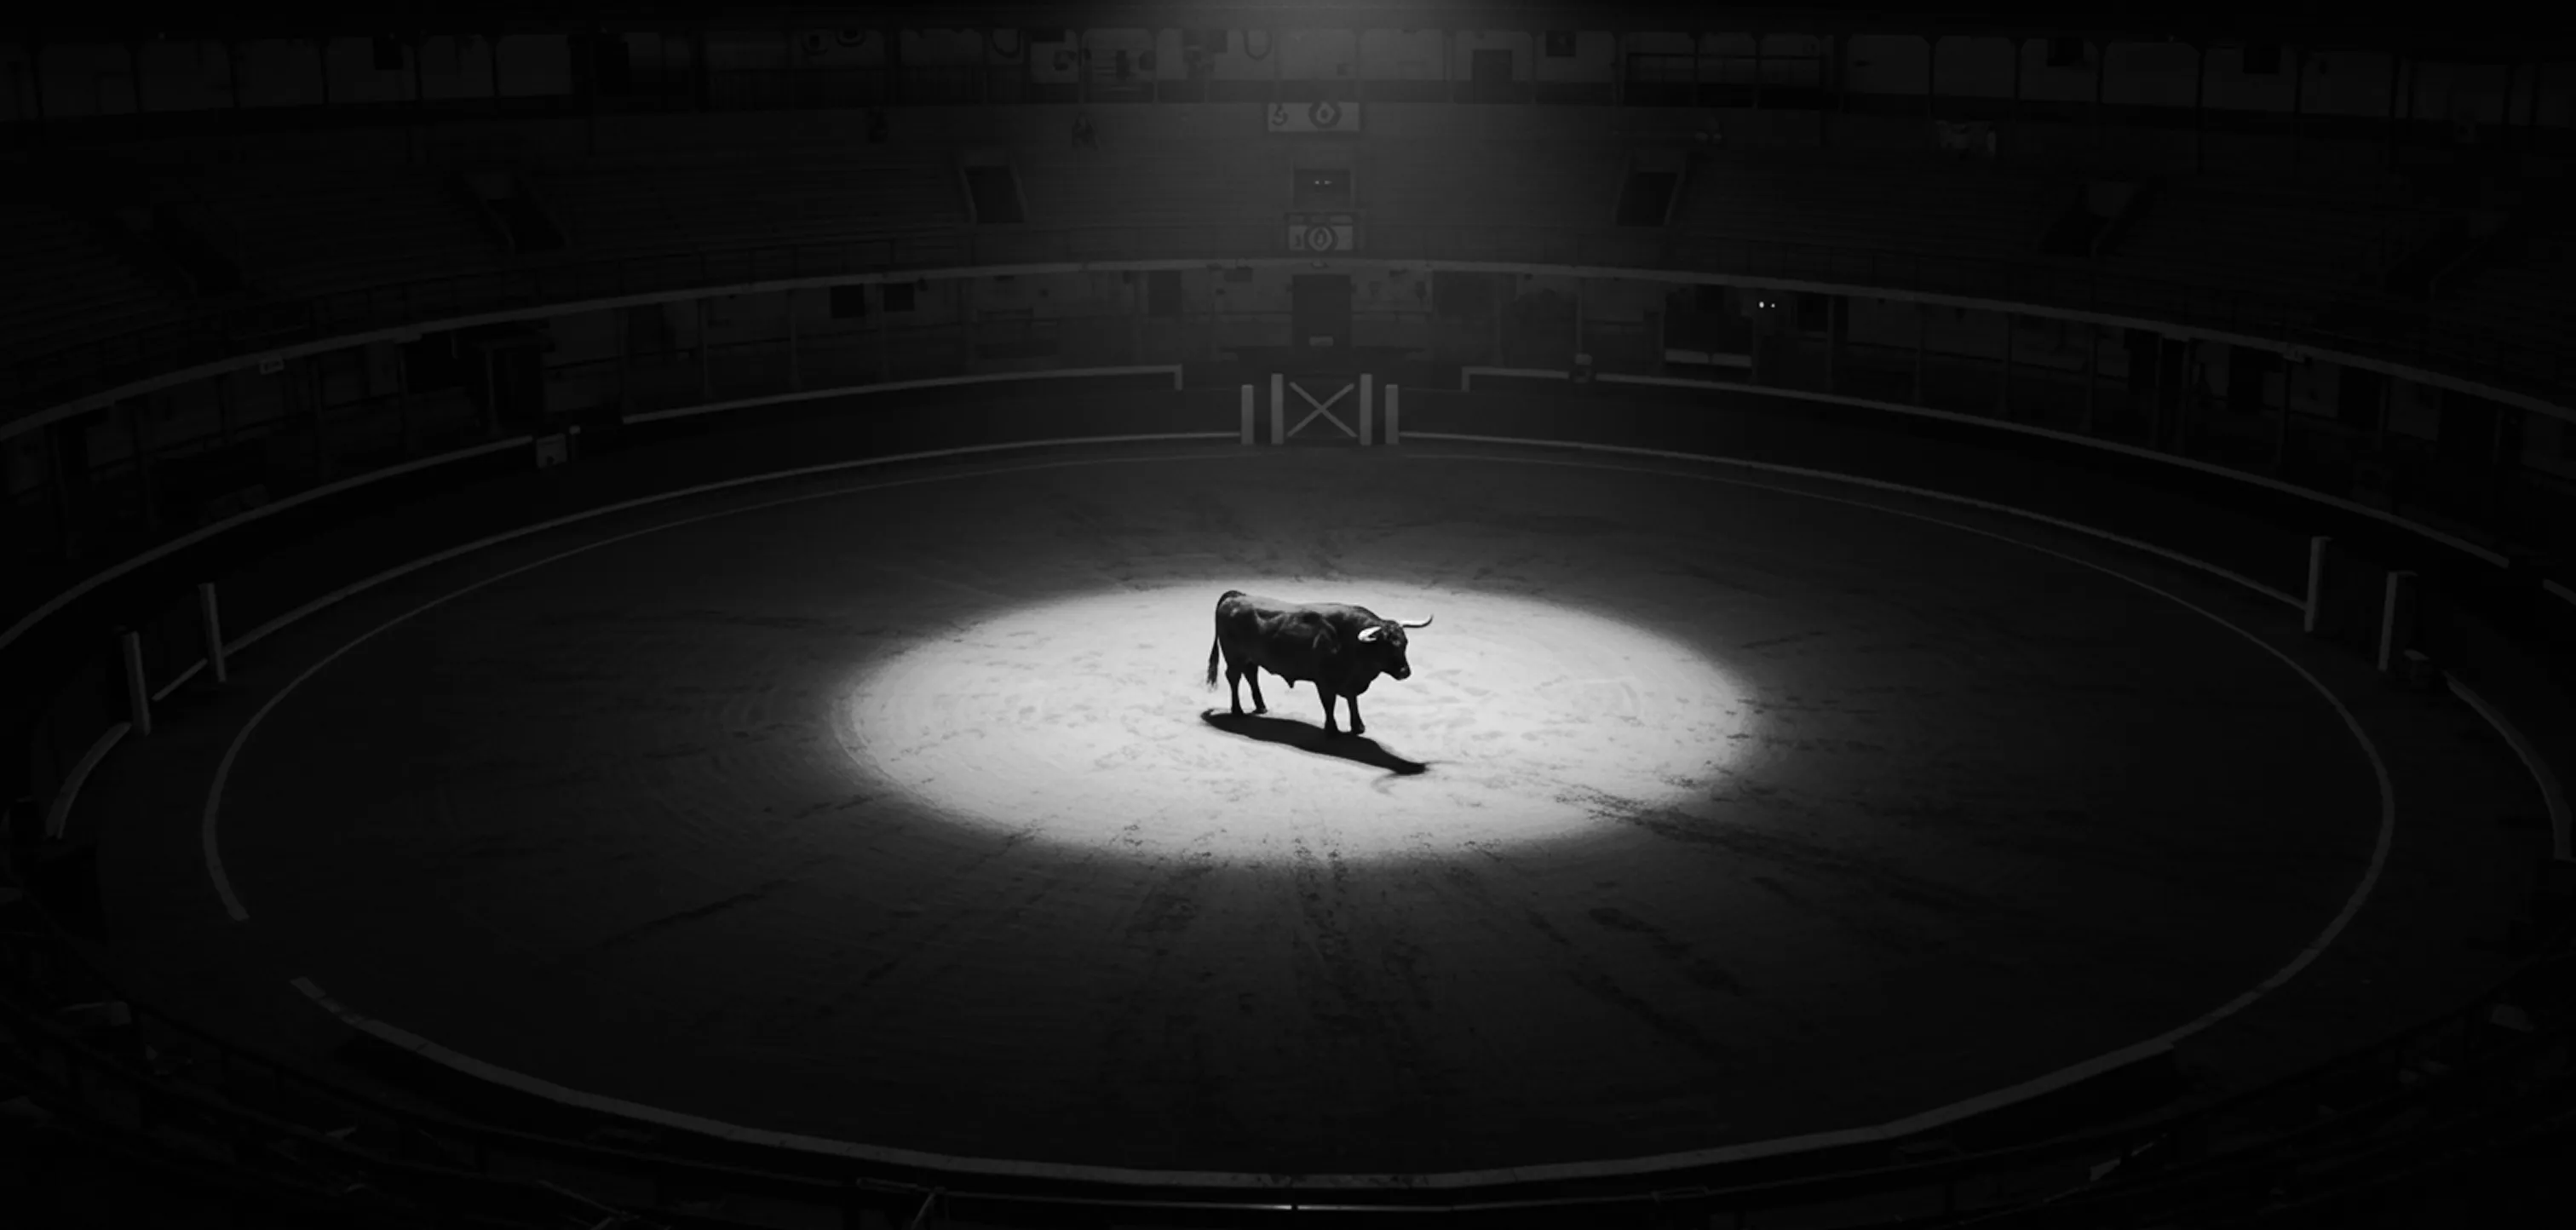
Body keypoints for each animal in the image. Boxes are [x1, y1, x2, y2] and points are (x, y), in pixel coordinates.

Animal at [1205, 590, 1433, 737]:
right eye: (1386, 646)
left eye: (1405, 643)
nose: (1405, 672)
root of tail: (1236, 596)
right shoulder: (1325, 682)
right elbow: (1329, 704)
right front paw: (1332, 729)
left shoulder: (1349, 682)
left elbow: (1352, 701)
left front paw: (1358, 726)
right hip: (1234, 656)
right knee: (1234, 678)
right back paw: (1237, 710)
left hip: (1251, 658)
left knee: (1251, 675)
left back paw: (1261, 706)